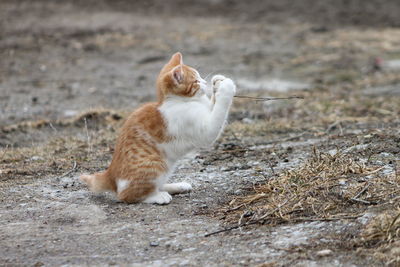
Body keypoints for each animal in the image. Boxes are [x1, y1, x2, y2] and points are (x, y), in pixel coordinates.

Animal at [80, 53, 236, 206]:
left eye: (201, 77)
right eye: (196, 81)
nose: (205, 82)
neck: (180, 101)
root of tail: (110, 175)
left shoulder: (206, 109)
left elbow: (213, 104)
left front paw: (218, 82)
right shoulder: (204, 130)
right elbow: (219, 112)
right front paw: (227, 87)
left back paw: (176, 186)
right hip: (155, 165)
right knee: (127, 195)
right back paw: (158, 196)